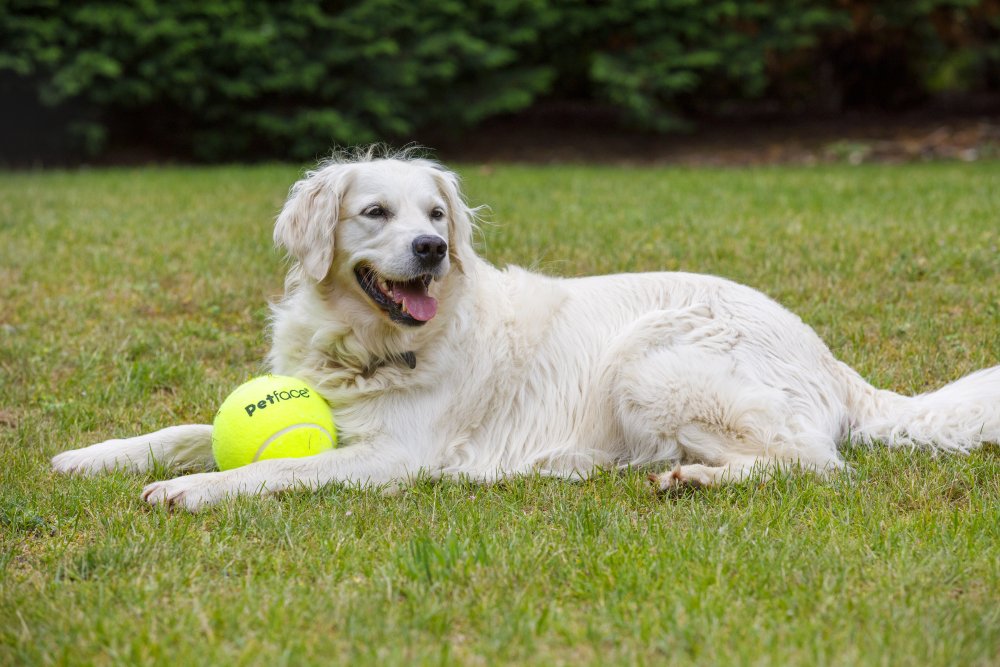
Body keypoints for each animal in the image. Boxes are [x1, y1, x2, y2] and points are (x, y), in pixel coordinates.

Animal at [52, 147, 1000, 512]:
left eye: (436, 213)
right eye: (376, 213)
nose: (433, 250)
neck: (367, 348)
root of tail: (830, 358)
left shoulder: (395, 456)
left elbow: (277, 469)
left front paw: (191, 490)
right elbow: (182, 428)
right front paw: (92, 456)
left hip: (651, 361)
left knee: (814, 464)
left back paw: (690, 478)